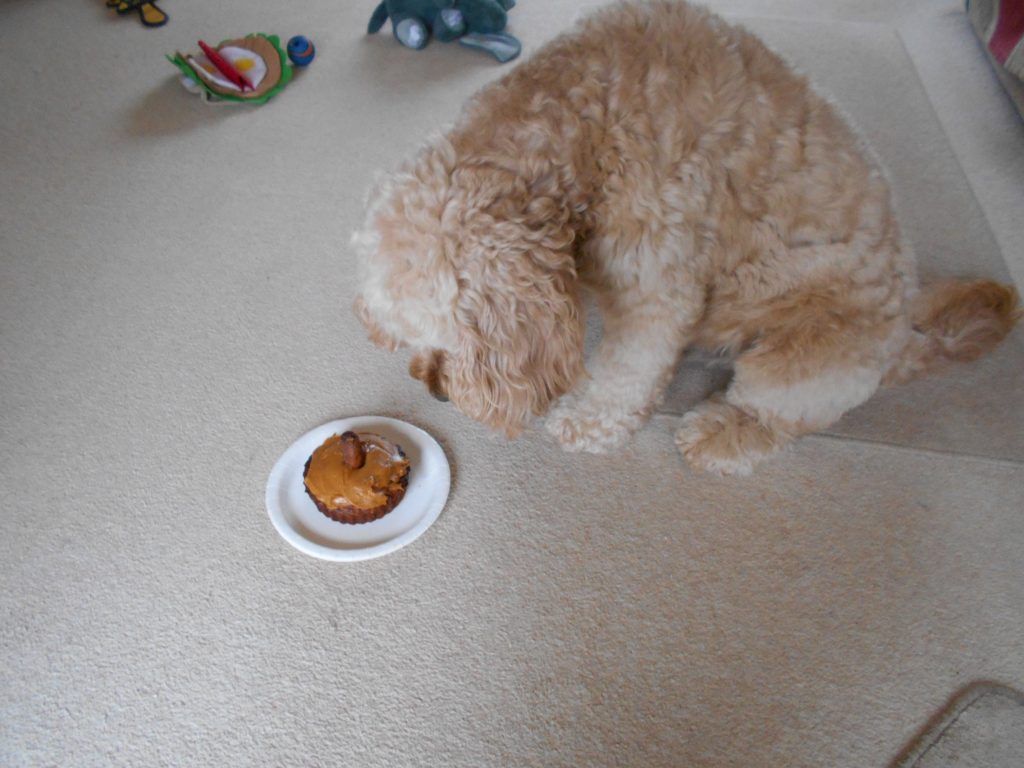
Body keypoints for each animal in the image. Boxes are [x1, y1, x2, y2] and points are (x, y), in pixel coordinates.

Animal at [350, 1, 1015, 475]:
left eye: (445, 340)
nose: (434, 390)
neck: (583, 115)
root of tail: (905, 339)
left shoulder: (654, 281)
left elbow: (628, 370)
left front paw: (588, 423)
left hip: (799, 365)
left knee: (777, 419)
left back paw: (721, 433)